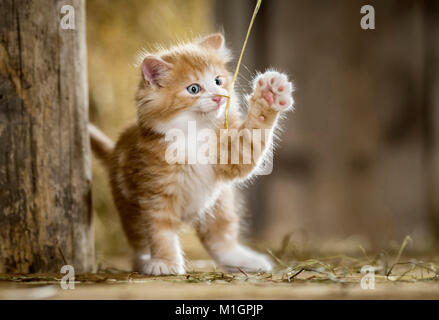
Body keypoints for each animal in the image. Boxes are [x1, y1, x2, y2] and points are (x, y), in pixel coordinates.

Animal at [88, 34, 296, 276]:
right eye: (194, 89)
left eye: (218, 81)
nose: (218, 98)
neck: (194, 130)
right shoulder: (155, 193)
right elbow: (160, 232)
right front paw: (165, 262)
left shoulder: (231, 152)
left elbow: (252, 137)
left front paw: (269, 96)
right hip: (129, 208)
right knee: (138, 240)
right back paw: (145, 260)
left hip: (220, 202)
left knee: (220, 237)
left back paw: (242, 260)